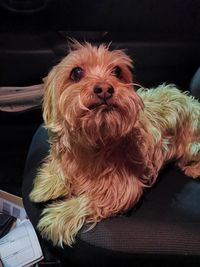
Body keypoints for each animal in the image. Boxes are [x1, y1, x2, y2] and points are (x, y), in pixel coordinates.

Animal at [30, 40, 200, 248]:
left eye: (117, 71)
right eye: (76, 72)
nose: (105, 88)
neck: (95, 138)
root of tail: (192, 100)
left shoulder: (123, 187)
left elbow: (92, 198)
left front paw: (60, 216)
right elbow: (60, 169)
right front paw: (47, 183)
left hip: (191, 144)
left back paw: (193, 169)